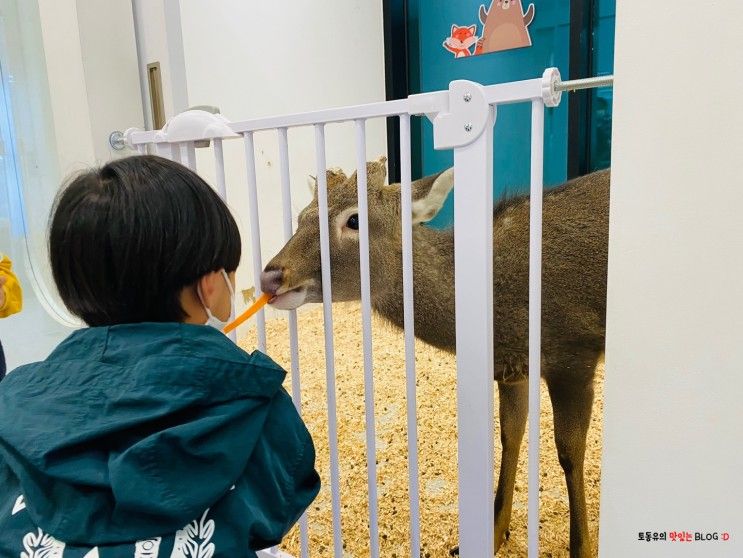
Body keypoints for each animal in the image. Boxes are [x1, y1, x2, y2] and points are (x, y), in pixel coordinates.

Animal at [262, 158, 612, 558]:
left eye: (354, 220)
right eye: (302, 216)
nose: (271, 276)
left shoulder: (575, 354)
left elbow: (569, 453)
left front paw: (582, 547)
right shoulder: (512, 369)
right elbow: (510, 434)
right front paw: (494, 532)